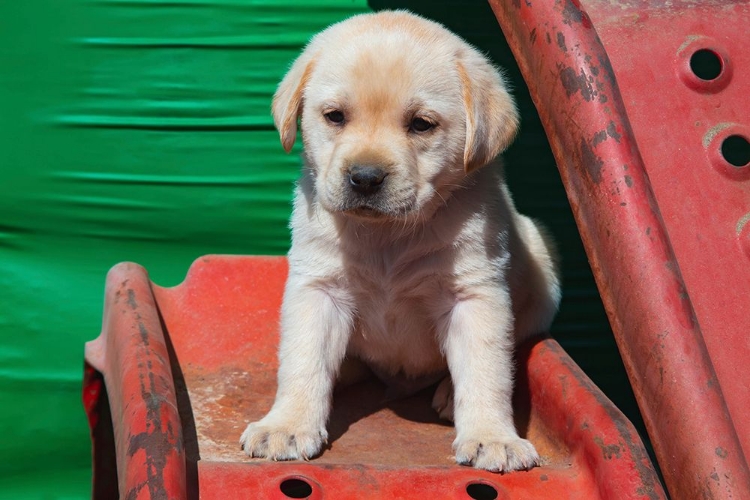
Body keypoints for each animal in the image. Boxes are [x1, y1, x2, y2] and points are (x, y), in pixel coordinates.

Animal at [238, 10, 560, 472]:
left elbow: (487, 371)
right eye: (335, 117)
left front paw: (492, 437)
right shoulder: (318, 287)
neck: (386, 235)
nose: (365, 178)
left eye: (421, 124)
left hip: (542, 265)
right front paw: (286, 424)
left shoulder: (475, 294)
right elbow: (303, 361)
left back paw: (448, 393)